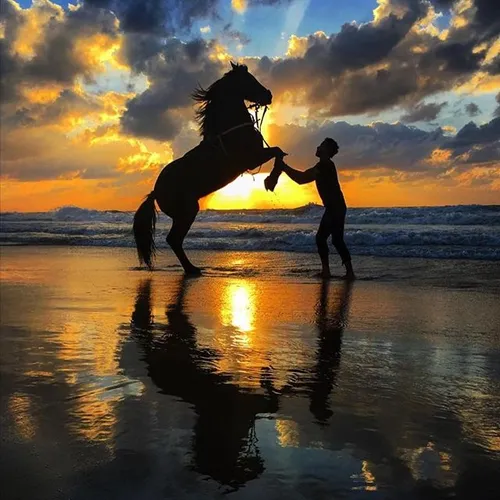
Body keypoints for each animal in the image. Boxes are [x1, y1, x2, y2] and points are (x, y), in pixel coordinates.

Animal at [133, 61, 288, 278]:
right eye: (249, 79)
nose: (268, 95)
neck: (231, 130)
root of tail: (156, 191)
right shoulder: (252, 158)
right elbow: (278, 152)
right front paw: (271, 181)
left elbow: (279, 152)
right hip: (188, 211)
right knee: (174, 239)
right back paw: (192, 269)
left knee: (175, 240)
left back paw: (192, 268)